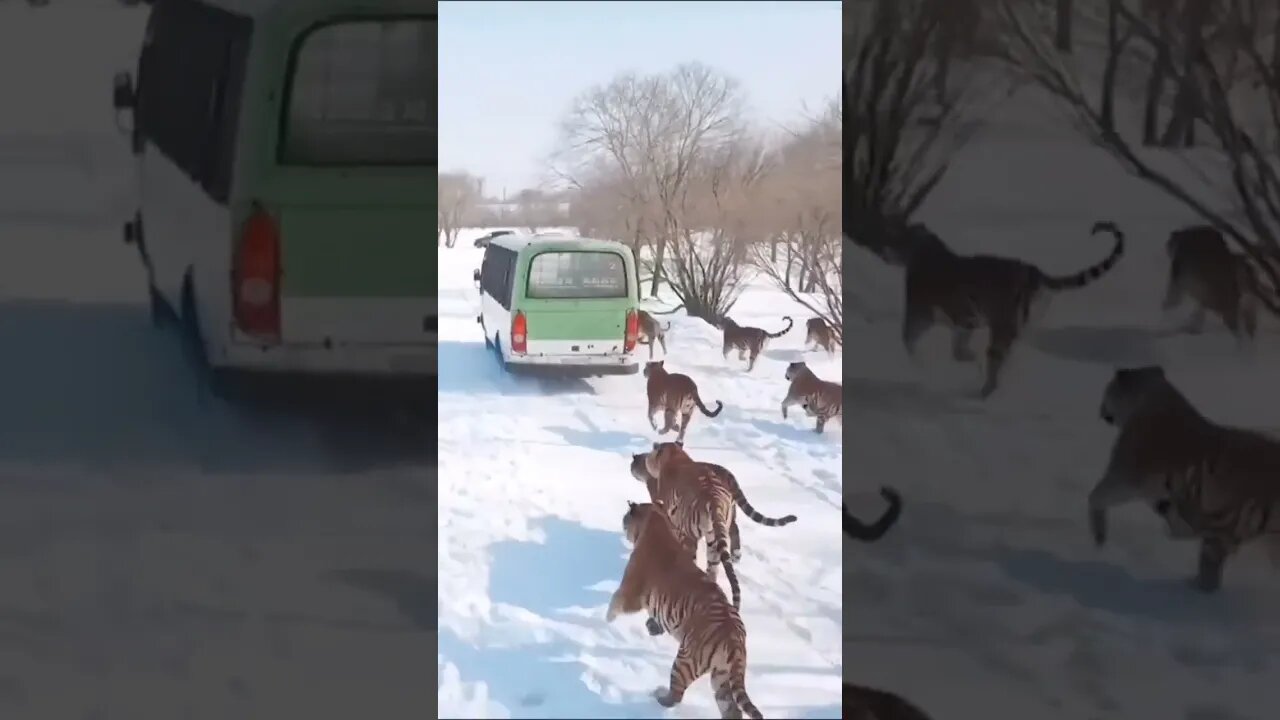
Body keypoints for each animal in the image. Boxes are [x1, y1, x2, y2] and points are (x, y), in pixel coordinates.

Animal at [896, 220, 1126, 394]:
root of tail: (1033, 272)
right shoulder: (963, 322)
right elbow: (957, 350)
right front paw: (971, 359)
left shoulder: (921, 314)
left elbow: (910, 341)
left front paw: (922, 365)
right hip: (1015, 325)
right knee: (1001, 358)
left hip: (1002, 325)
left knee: (995, 363)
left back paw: (982, 393)